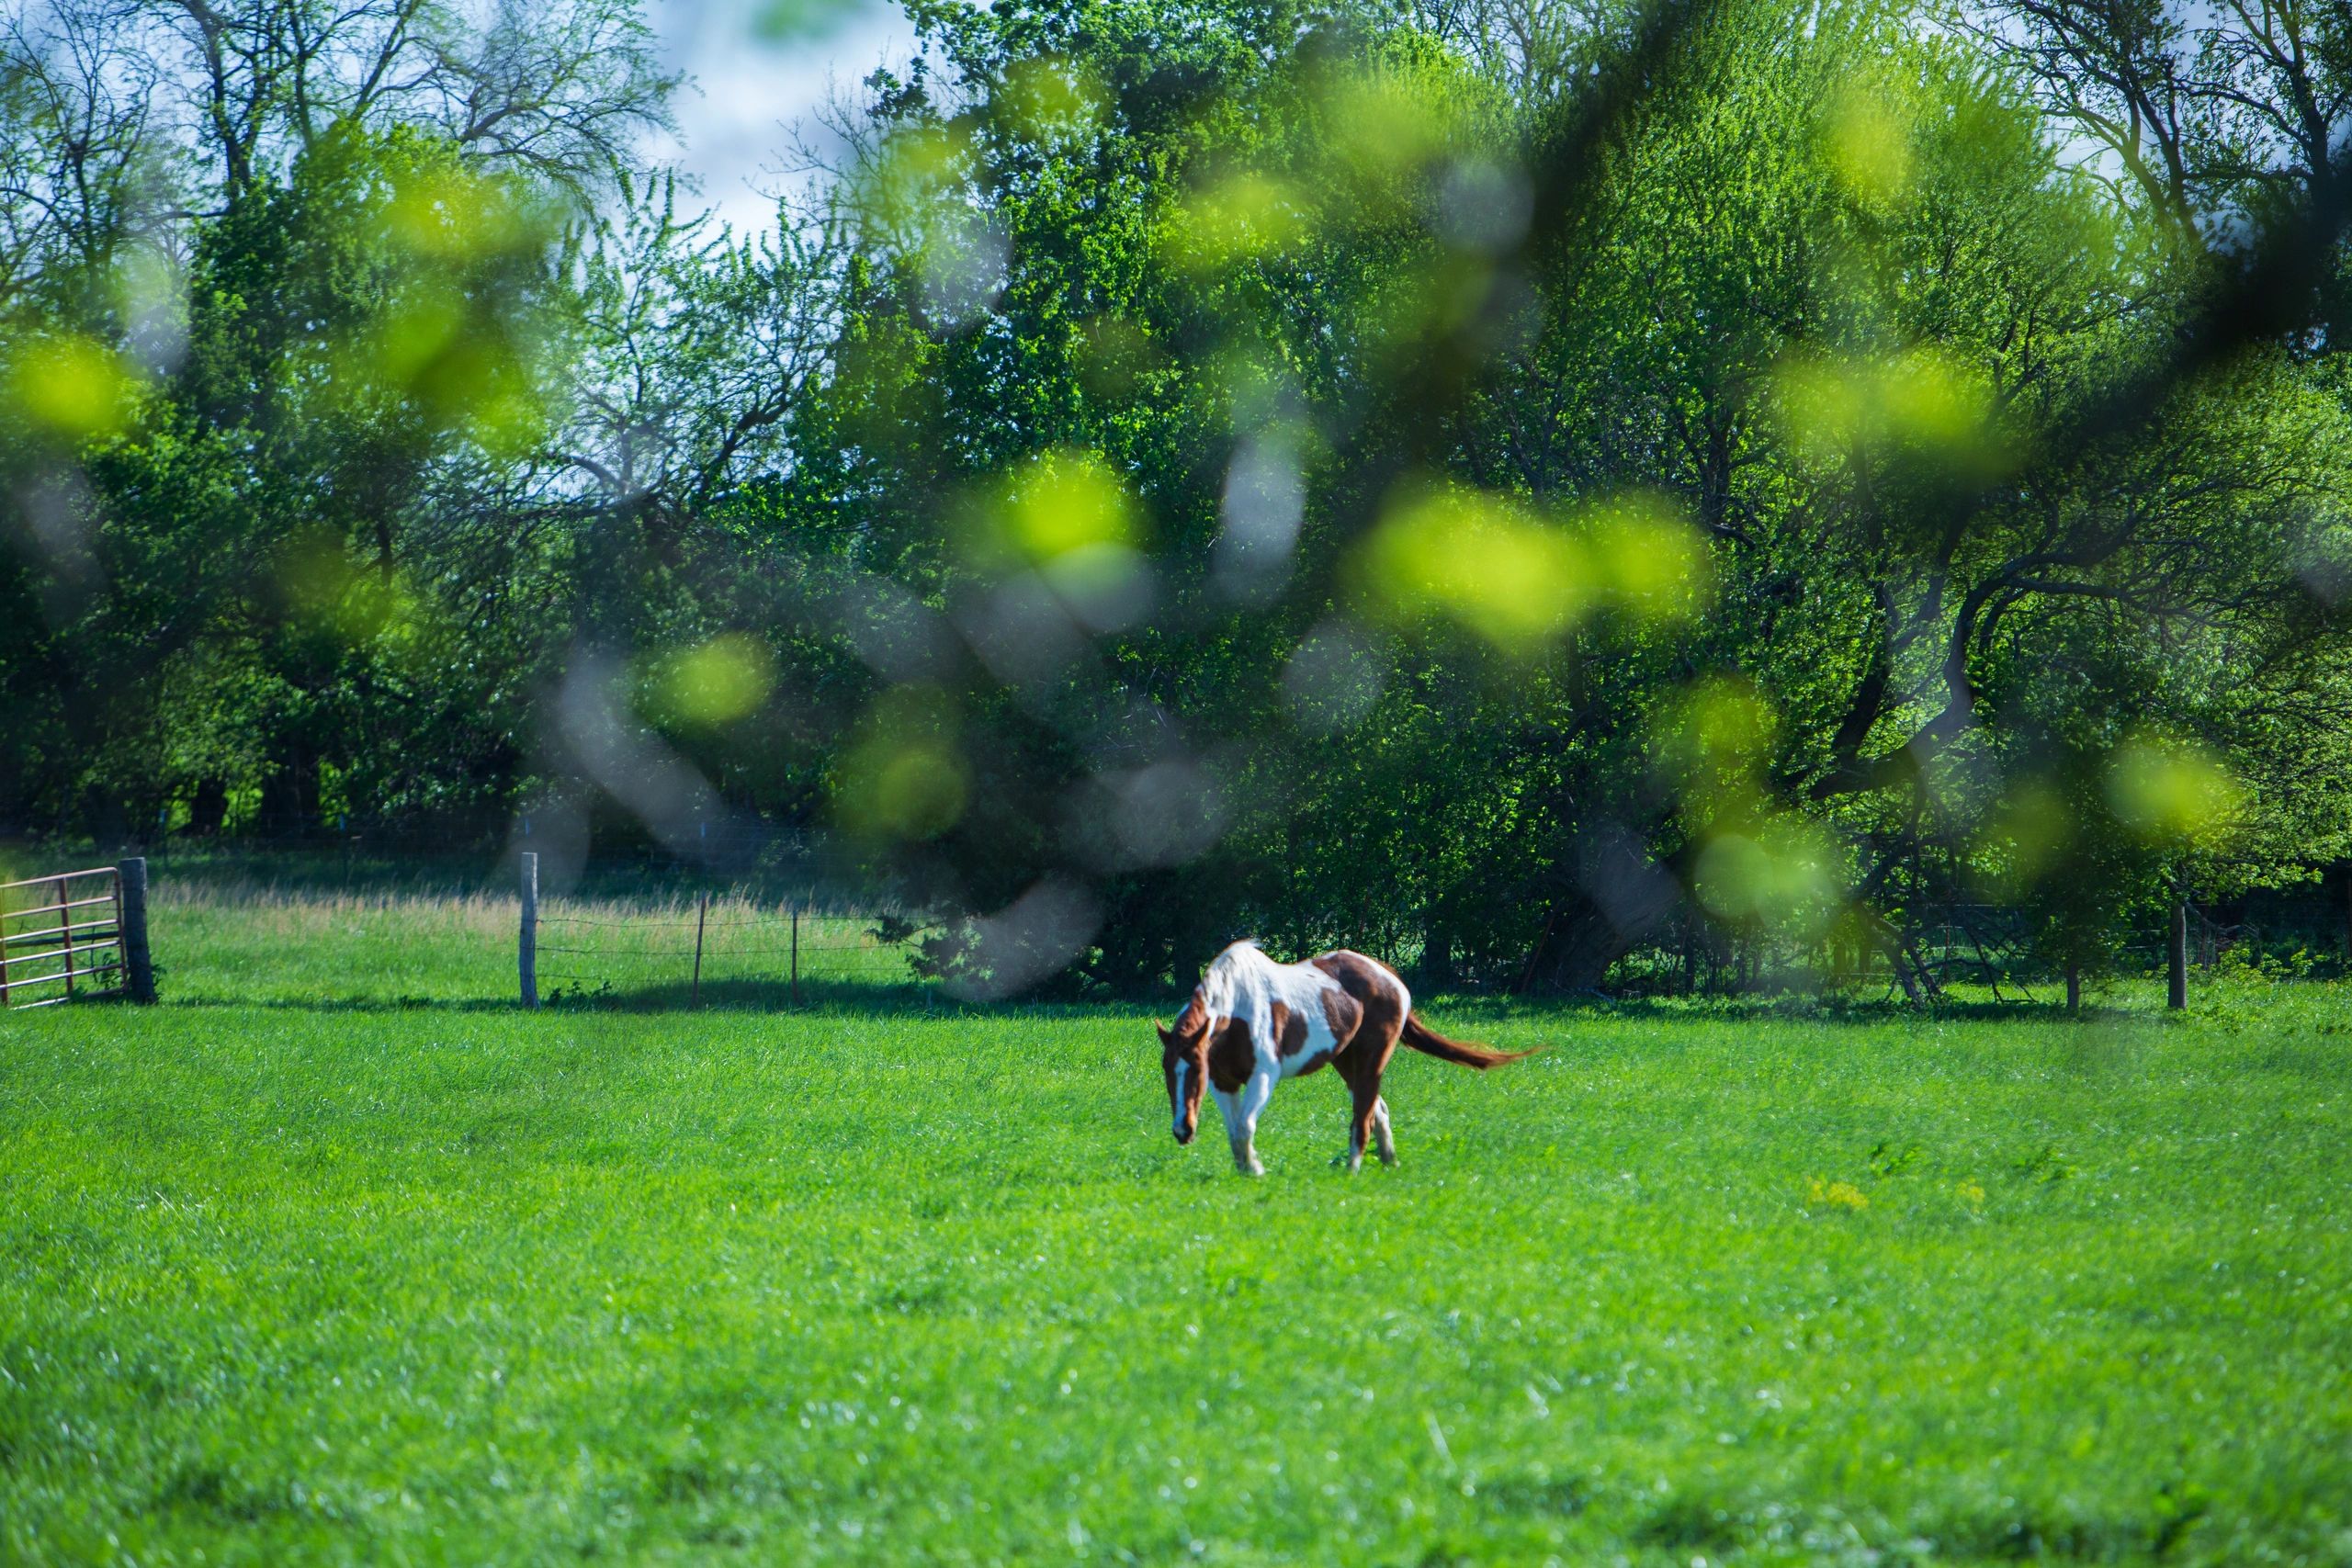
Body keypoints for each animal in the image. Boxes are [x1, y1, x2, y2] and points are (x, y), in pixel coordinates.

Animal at [1155, 941, 1536, 1175]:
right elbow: (1235, 1130)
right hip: (1346, 1062)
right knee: (1378, 1109)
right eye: (1168, 1073)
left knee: (1363, 1114)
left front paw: (1256, 1171)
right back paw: (1388, 1162)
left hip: (1371, 1061)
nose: (1182, 1131)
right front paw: (1248, 1170)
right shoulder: (1224, 1082)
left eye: (1195, 1070)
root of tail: (1389, 978)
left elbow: (1245, 1127)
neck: (1236, 1010)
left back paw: (1353, 1169)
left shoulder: (1264, 1076)